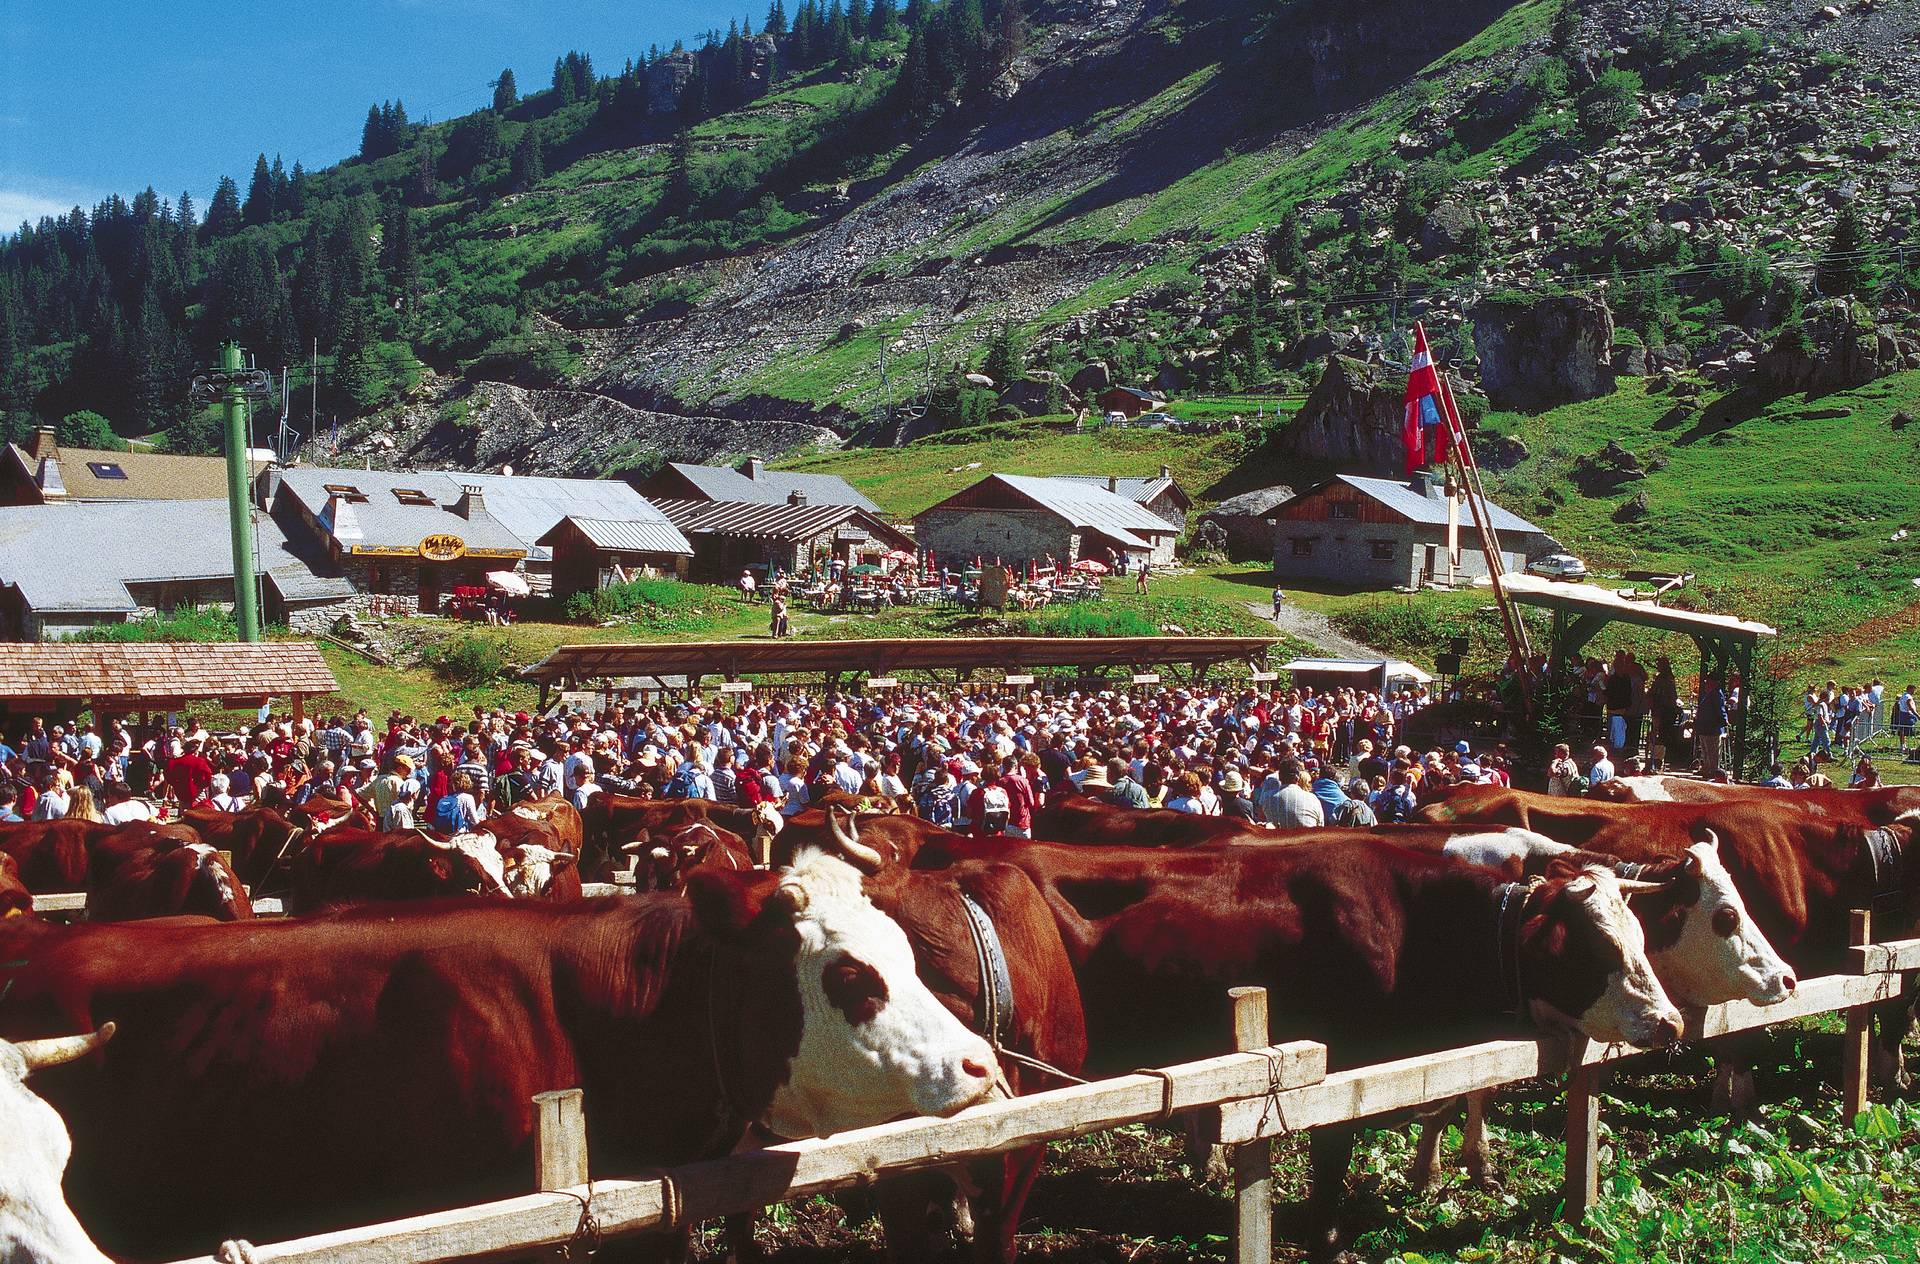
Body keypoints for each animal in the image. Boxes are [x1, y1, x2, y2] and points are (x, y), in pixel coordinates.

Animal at [910, 834, 1680, 1259]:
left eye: (1640, 935)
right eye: (1593, 946)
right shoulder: (1335, 1073)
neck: (1409, 924)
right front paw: (1328, 1240)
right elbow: (1333, 1164)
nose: (1670, 1022)